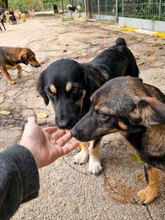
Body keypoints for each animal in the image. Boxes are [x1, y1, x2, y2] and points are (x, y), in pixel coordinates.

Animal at [37, 38, 139, 175]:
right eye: (51, 93)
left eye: (75, 90)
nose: (64, 125)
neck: (84, 105)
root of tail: (120, 45)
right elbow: (83, 142)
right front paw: (83, 155)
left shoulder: (97, 124)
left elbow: (93, 147)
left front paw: (94, 164)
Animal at [71, 75, 165, 205]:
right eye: (90, 106)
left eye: (101, 114)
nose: (71, 133)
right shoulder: (148, 161)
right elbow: (151, 178)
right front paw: (149, 193)